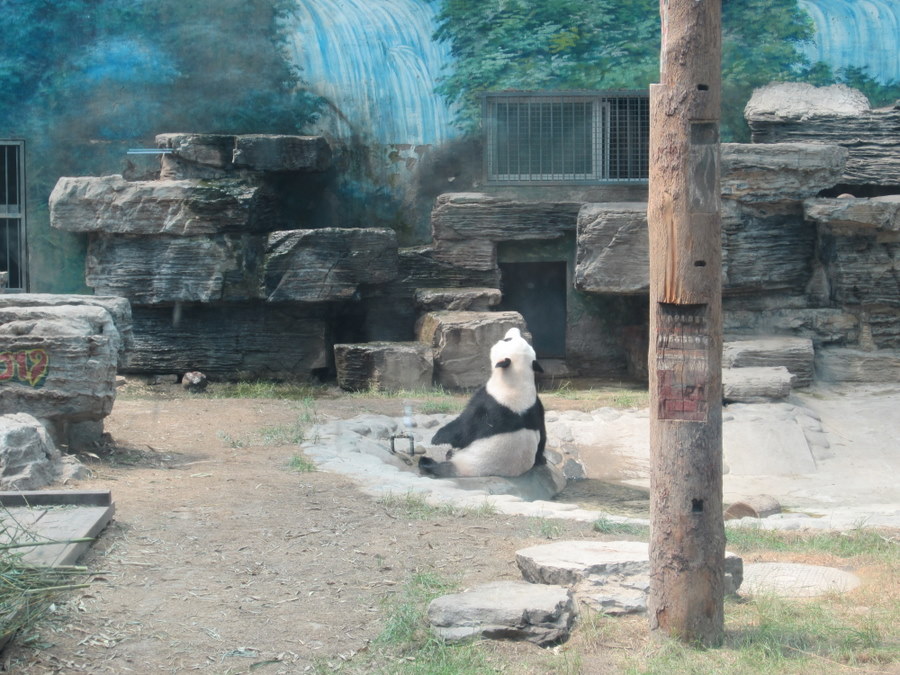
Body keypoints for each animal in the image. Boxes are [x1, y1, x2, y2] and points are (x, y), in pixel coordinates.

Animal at [419, 327, 546, 478]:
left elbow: (463, 430)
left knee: (442, 464)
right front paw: (541, 457)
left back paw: (428, 463)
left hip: (467, 461)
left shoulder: (489, 404)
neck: (517, 382)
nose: (514, 329)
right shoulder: (536, 407)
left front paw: (437, 438)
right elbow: (543, 435)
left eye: (507, 340)